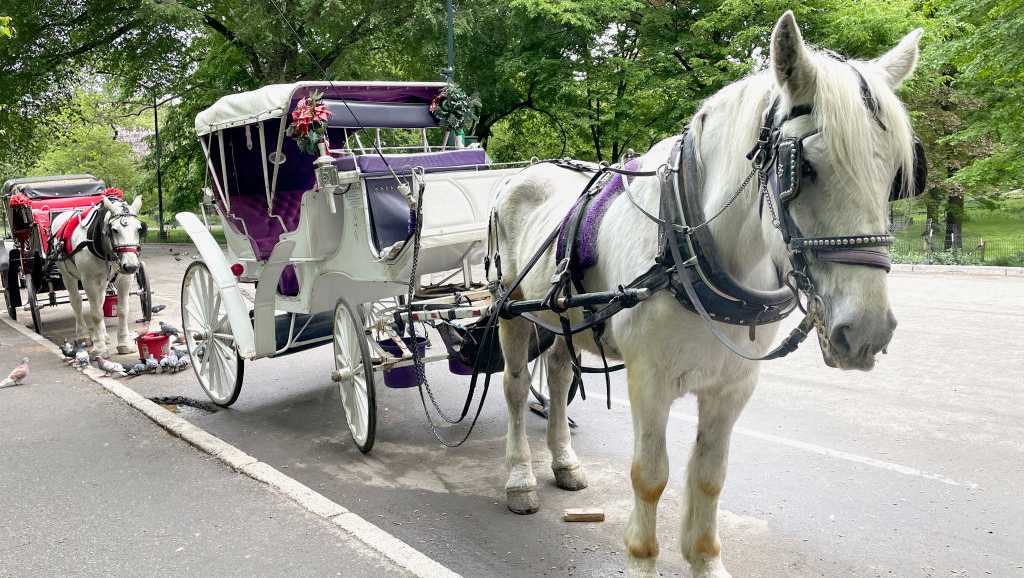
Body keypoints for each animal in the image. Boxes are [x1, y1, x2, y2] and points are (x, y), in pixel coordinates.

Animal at [50, 194, 146, 357]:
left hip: (103, 280)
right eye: (114, 230)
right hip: (67, 275)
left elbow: (121, 310)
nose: (131, 266)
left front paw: (124, 343)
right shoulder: (88, 280)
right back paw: (83, 334)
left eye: (139, 229)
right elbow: (95, 313)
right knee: (76, 301)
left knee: (100, 301)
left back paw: (101, 335)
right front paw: (100, 348)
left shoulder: (124, 279)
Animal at [490, 12, 922, 577]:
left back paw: (563, 461)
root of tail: (519, 175)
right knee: (517, 389)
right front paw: (642, 561)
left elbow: (709, 476)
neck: (688, 247)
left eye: (894, 174)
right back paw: (519, 478)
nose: (867, 331)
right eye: (803, 168)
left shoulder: (731, 387)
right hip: (511, 311)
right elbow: (650, 476)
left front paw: (705, 559)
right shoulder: (649, 382)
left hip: (563, 315)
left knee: (560, 378)